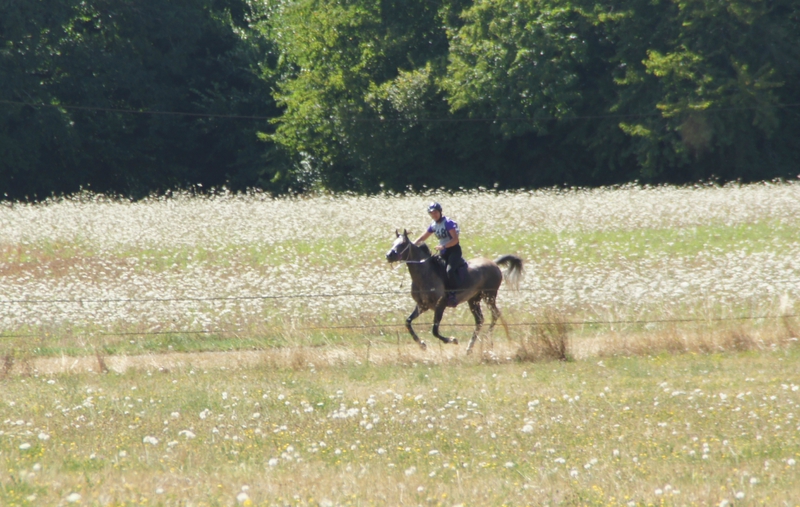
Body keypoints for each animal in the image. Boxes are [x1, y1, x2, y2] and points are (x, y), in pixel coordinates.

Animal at [388, 229, 524, 354]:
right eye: (393, 243)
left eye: (402, 244)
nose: (389, 255)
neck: (424, 274)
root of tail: (494, 263)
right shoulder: (422, 306)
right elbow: (408, 322)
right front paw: (422, 344)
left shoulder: (440, 306)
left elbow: (435, 330)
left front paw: (452, 340)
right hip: (473, 300)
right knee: (479, 320)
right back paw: (470, 348)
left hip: (489, 296)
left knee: (495, 314)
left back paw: (488, 339)